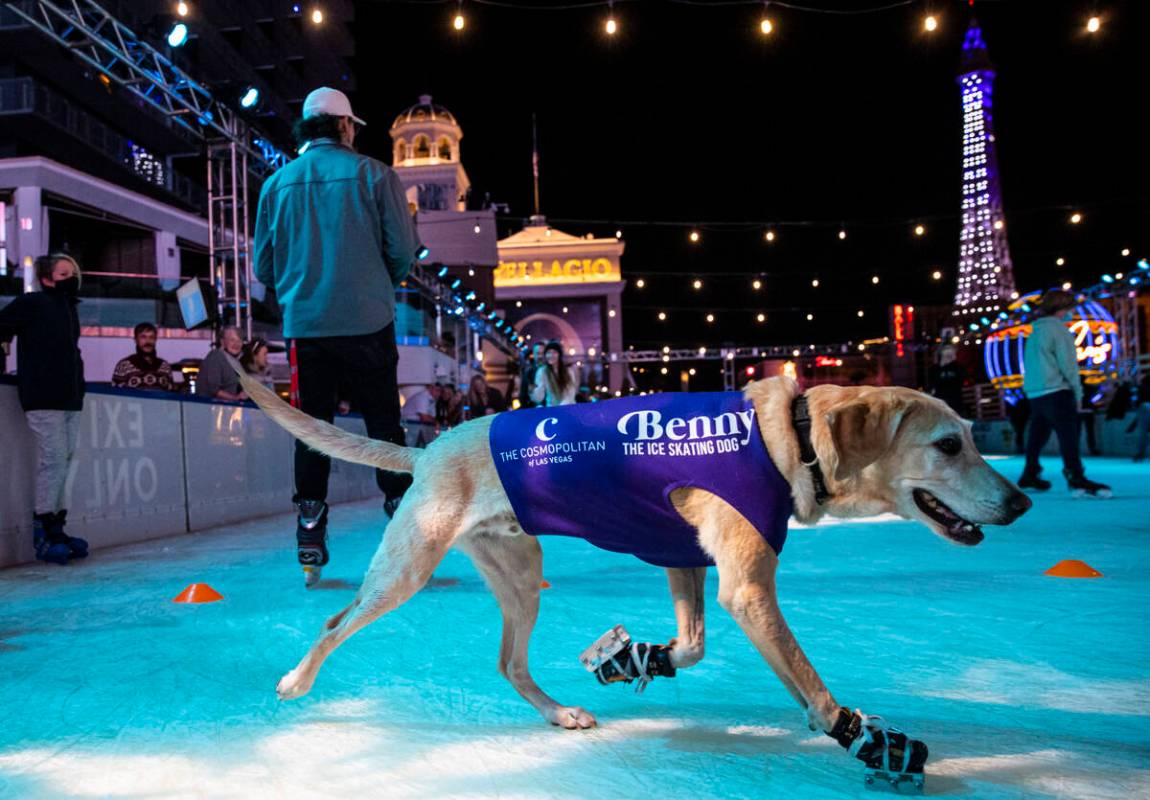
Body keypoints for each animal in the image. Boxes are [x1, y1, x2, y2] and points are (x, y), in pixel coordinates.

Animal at [235, 372, 1035, 781]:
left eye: (970, 438)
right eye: (949, 445)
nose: (1023, 502)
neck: (794, 438)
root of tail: (430, 448)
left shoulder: (687, 559)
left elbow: (692, 645)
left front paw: (635, 657)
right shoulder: (747, 587)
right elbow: (812, 691)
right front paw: (865, 738)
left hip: (521, 574)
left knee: (508, 662)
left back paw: (560, 713)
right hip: (406, 568)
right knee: (337, 622)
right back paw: (295, 681)